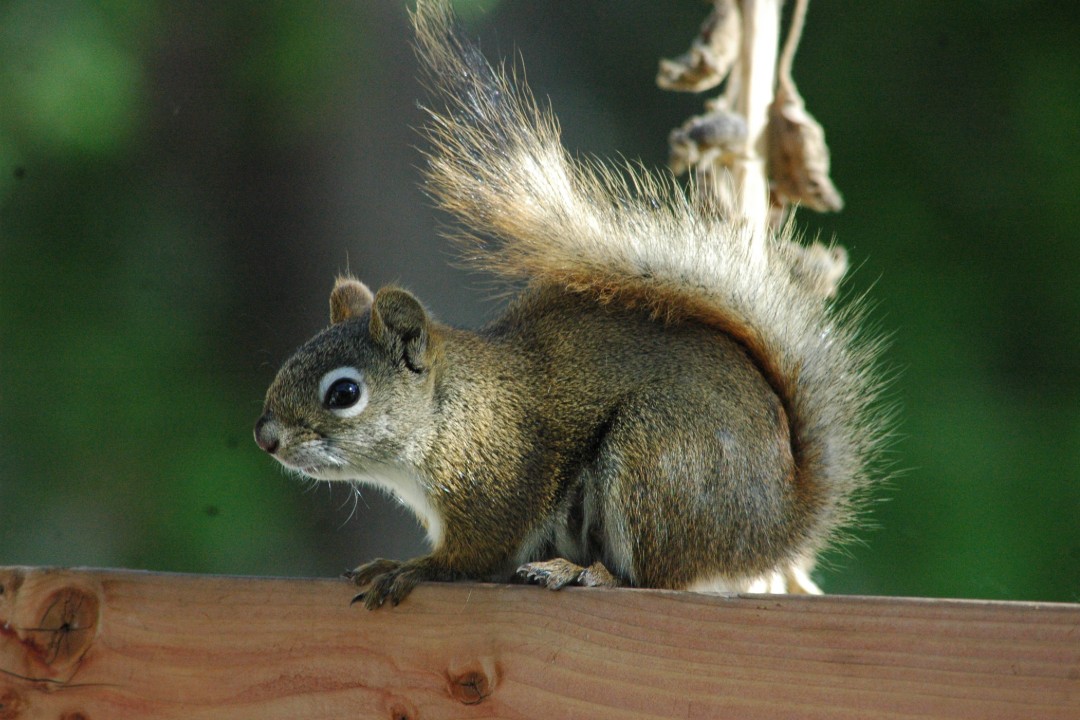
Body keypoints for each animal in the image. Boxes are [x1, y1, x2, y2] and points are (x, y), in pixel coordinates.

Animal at [253, 1, 887, 609]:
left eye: (344, 393)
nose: (266, 438)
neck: (449, 412)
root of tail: (774, 524)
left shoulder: (495, 483)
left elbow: (472, 556)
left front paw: (408, 568)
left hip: (660, 458)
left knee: (650, 577)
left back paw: (580, 574)